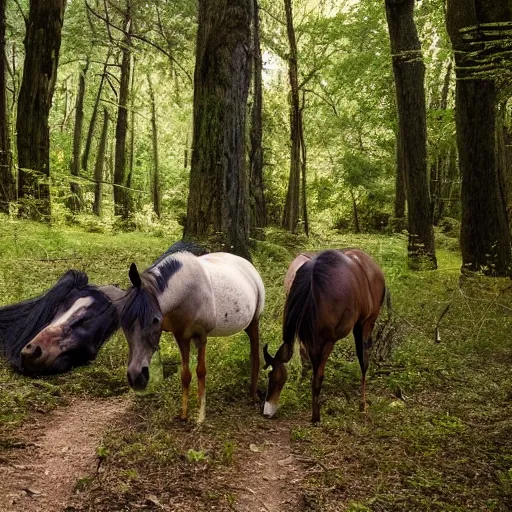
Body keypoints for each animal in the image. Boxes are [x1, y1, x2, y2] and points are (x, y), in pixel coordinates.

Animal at [264, 250, 388, 422]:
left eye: (275, 377)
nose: (266, 411)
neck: (312, 295)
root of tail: (372, 265)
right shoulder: (308, 339)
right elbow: (308, 365)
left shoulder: (327, 341)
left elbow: (318, 376)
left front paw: (316, 415)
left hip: (367, 322)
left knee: (364, 360)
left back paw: (363, 404)